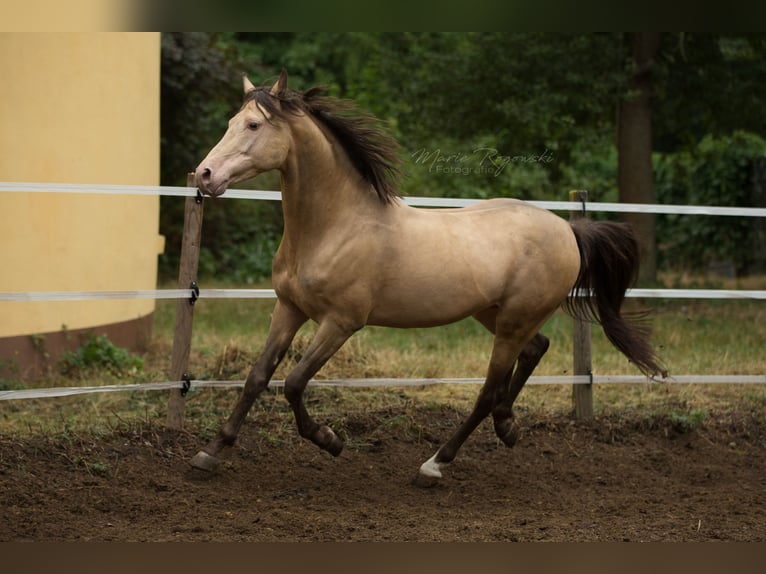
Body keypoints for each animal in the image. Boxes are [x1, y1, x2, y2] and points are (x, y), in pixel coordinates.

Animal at [190, 69, 664, 484]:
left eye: (253, 124)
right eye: (231, 123)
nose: (205, 176)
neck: (335, 226)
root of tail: (568, 229)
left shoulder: (341, 322)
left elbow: (292, 383)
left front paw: (330, 440)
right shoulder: (288, 309)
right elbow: (257, 377)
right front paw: (209, 453)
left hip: (513, 321)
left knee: (488, 390)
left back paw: (434, 465)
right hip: (495, 314)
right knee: (535, 351)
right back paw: (507, 427)